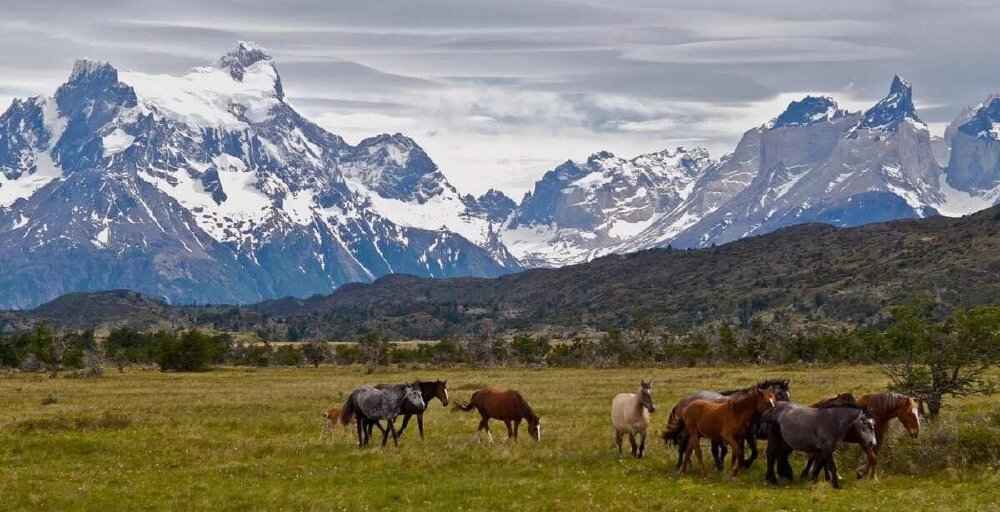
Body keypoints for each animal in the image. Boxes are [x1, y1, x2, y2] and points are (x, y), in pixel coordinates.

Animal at [660, 378, 792, 470]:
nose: (787, 412)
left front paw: (741, 465)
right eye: (780, 395)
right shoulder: (749, 435)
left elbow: (745, 451)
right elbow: (752, 452)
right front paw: (745, 464)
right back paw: (680, 466)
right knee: (682, 446)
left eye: (788, 395)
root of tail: (682, 402)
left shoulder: (744, 435)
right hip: (689, 432)